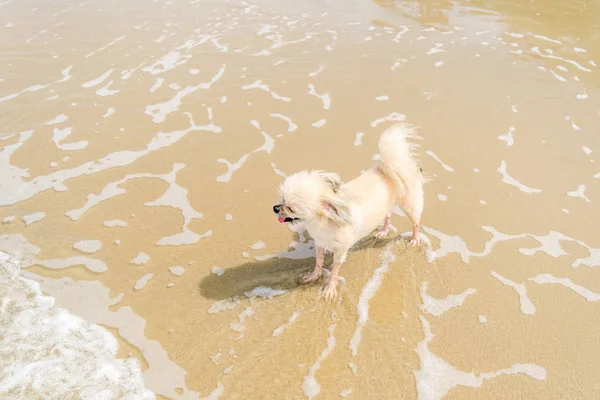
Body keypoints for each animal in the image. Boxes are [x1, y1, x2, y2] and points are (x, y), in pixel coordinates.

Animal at [274, 123, 424, 298]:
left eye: (291, 208)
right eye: (282, 199)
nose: (275, 208)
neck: (325, 221)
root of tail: (389, 166)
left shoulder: (340, 252)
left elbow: (334, 271)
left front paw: (330, 288)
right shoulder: (320, 244)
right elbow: (319, 261)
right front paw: (314, 276)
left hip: (409, 204)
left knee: (415, 222)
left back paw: (415, 238)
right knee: (387, 215)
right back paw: (384, 231)